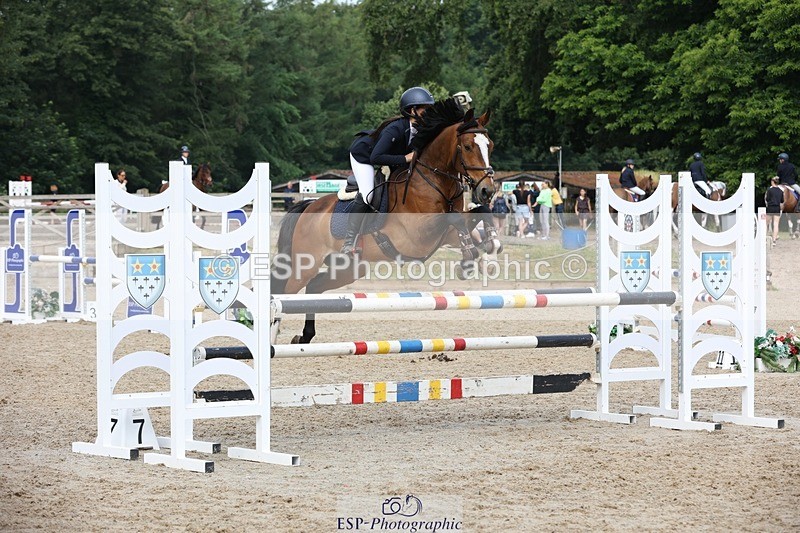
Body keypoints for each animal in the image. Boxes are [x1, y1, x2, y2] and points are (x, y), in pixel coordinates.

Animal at [273, 98, 495, 344]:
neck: (434, 181)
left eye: (490, 146)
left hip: (350, 268)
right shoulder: (417, 234)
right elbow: (455, 218)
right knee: (285, 292)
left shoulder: (446, 235)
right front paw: (470, 257)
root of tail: (310, 206)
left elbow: (478, 214)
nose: (487, 190)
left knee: (314, 287)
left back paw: (304, 337)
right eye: (467, 146)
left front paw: (484, 246)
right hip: (306, 263)